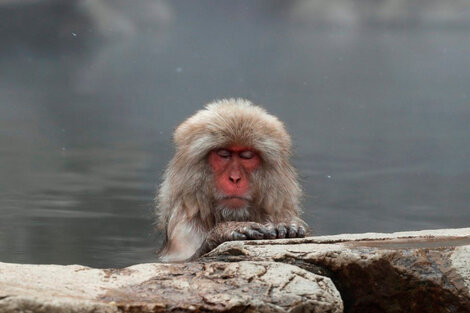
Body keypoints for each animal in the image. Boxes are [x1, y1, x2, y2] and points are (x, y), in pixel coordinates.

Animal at [156, 97, 308, 260]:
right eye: (223, 154)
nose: (235, 178)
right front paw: (228, 229)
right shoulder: (184, 227)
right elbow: (180, 260)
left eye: (247, 156)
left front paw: (282, 224)